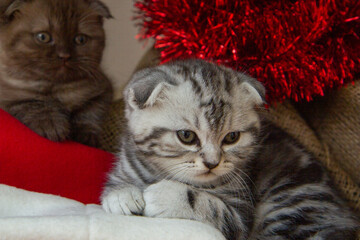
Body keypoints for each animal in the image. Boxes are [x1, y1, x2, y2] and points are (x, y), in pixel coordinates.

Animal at [0, 0, 114, 146]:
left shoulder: (104, 91)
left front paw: (87, 137)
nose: (64, 56)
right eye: (43, 37)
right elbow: (31, 104)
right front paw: (50, 124)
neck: (56, 87)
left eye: (80, 39)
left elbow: (90, 114)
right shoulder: (7, 98)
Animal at [102, 59, 358, 239]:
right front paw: (121, 194)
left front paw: (166, 195)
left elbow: (211, 207)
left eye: (232, 137)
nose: (212, 163)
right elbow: (119, 181)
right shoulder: (129, 161)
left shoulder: (240, 214)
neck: (159, 172)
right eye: (187, 136)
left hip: (290, 206)